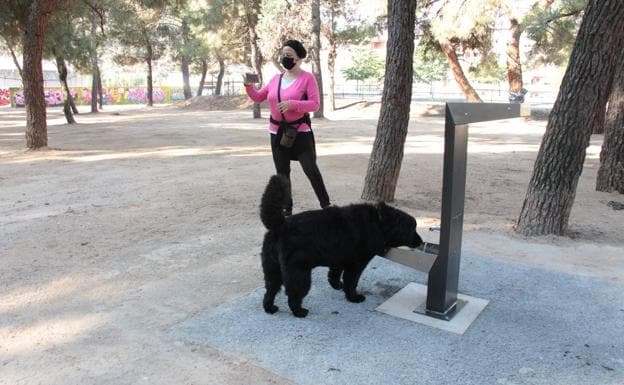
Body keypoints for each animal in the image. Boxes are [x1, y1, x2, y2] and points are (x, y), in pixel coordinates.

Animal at [258, 176, 424, 316]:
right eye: (412, 229)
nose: (421, 241)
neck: (379, 221)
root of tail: (281, 225)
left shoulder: (338, 259)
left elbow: (334, 275)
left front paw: (337, 285)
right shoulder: (357, 264)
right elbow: (351, 281)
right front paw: (353, 297)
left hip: (272, 268)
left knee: (270, 290)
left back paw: (270, 308)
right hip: (298, 272)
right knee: (293, 294)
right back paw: (299, 311)